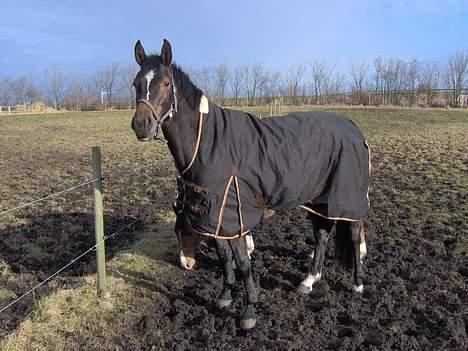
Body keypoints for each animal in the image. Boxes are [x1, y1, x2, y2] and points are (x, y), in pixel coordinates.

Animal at [130, 40, 372, 332]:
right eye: (135, 83)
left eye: (165, 83)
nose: (141, 125)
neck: (207, 141)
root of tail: (353, 128)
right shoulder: (216, 214)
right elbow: (224, 257)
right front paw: (224, 296)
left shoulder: (234, 214)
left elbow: (244, 263)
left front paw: (249, 311)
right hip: (319, 200)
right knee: (322, 235)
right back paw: (309, 281)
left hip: (346, 197)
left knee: (354, 234)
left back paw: (357, 285)